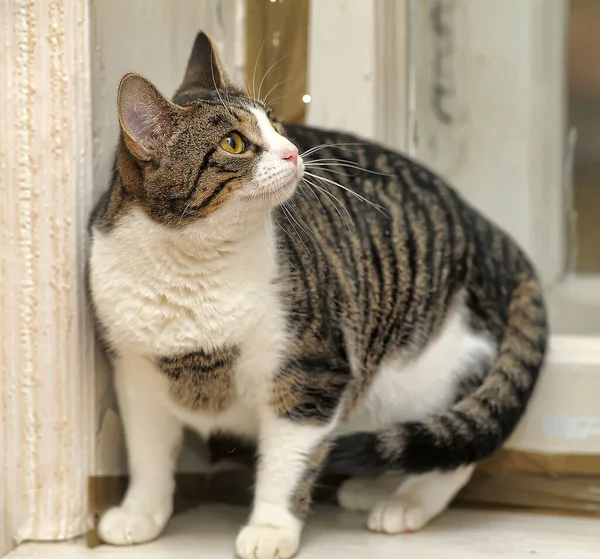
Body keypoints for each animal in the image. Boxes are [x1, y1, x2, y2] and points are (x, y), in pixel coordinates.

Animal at [88, 31, 548, 559]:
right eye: (234, 142)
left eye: (276, 123)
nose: (293, 151)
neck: (192, 266)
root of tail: (492, 231)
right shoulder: (134, 373)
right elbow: (147, 455)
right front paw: (140, 513)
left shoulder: (310, 375)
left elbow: (288, 464)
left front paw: (270, 528)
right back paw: (372, 487)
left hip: (427, 368)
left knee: (453, 442)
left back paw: (405, 502)